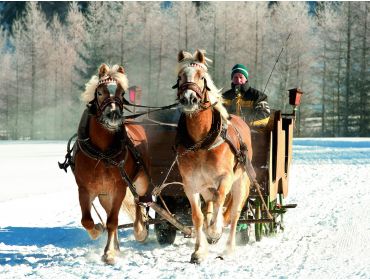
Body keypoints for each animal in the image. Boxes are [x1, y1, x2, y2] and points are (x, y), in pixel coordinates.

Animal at [73, 63, 150, 264]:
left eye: (122, 93)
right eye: (100, 92)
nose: (114, 114)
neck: (102, 153)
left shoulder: (119, 188)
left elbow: (113, 221)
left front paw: (108, 253)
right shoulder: (85, 189)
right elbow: (88, 220)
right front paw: (98, 231)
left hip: (139, 181)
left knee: (139, 201)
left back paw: (140, 230)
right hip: (105, 195)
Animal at [173, 49, 254, 262]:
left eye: (202, 77)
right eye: (180, 76)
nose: (189, 99)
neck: (202, 142)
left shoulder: (225, 178)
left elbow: (220, 201)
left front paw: (215, 231)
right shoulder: (190, 184)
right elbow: (198, 216)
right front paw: (199, 250)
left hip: (240, 182)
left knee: (234, 213)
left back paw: (228, 247)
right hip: (205, 187)